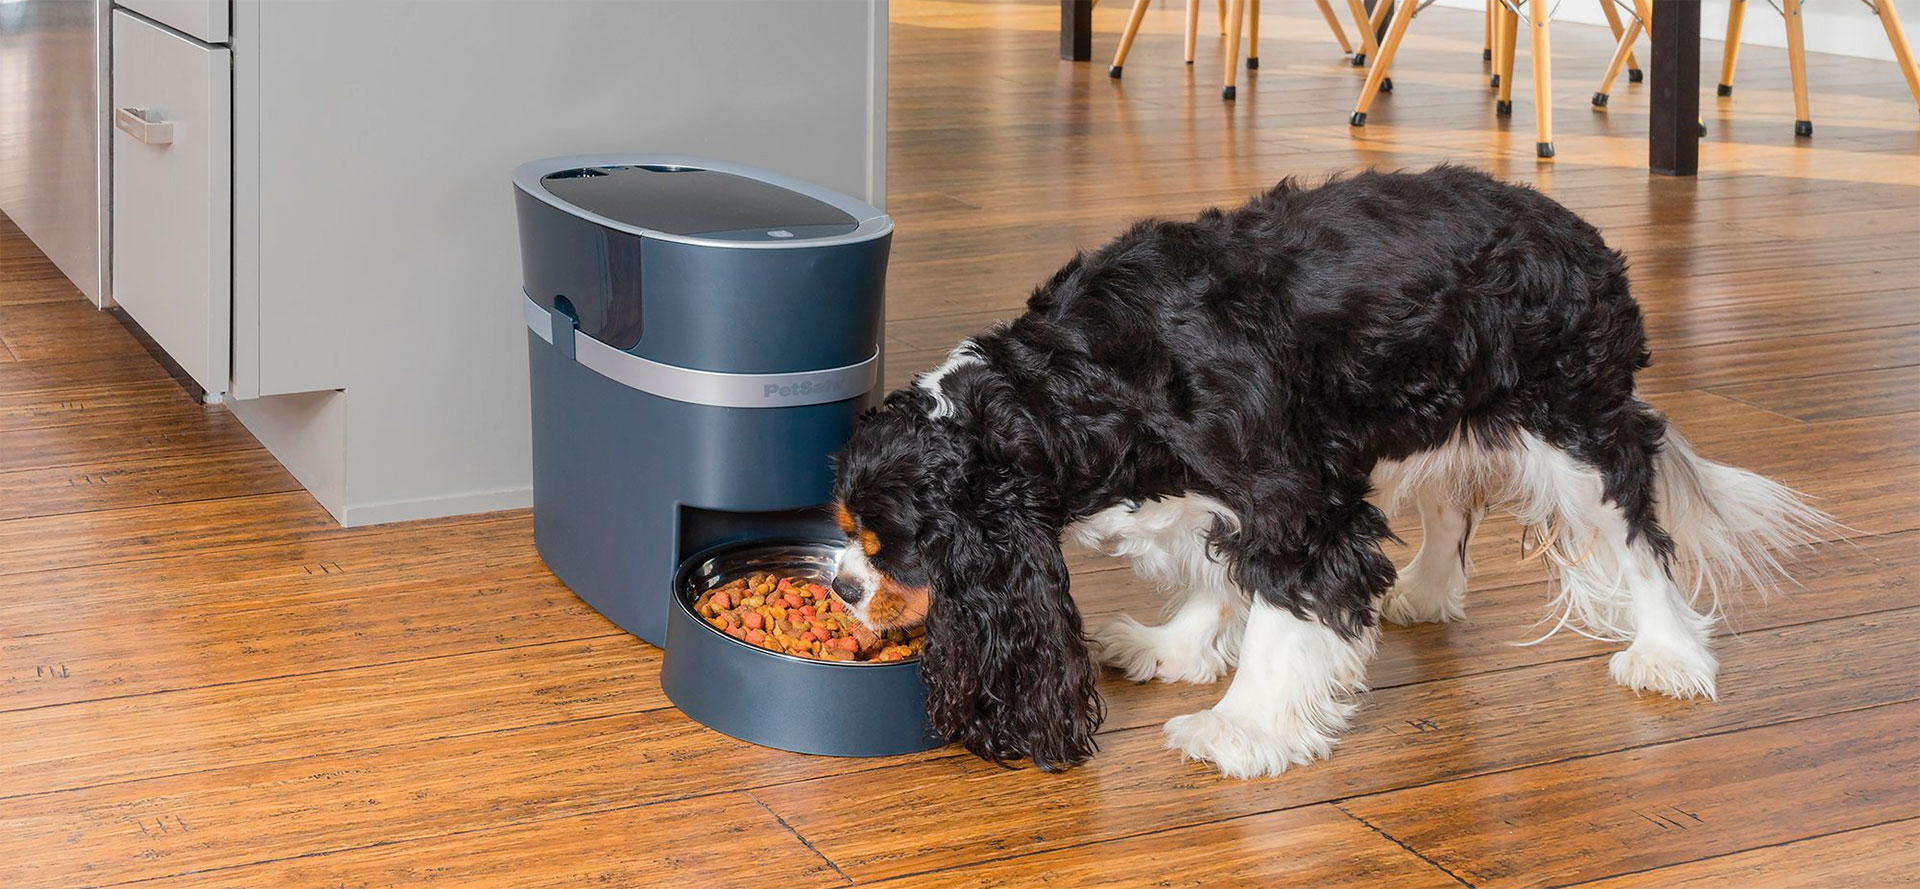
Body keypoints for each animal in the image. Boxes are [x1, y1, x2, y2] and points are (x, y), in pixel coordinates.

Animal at [817, 167, 1820, 779]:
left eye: (887, 547)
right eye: (844, 534)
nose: (839, 587)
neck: (1065, 385)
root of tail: (1581, 233)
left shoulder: (1298, 499)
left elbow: (1280, 609)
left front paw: (1240, 725)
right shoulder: (1229, 492)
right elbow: (1222, 578)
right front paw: (1177, 645)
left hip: (1572, 421)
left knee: (1639, 535)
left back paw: (1668, 654)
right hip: (1428, 415)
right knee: (1454, 499)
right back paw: (1424, 592)